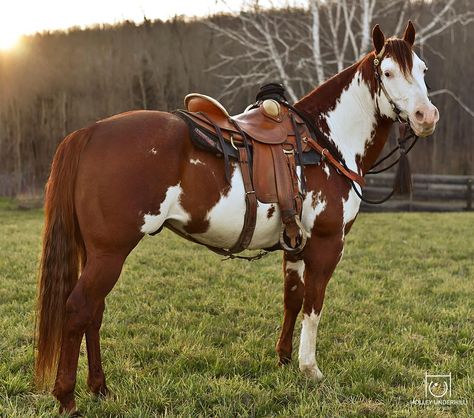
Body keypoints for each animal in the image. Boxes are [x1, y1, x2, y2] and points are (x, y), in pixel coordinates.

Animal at [36, 21, 436, 414]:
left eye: (422, 69)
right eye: (388, 72)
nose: (426, 117)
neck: (325, 142)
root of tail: (89, 133)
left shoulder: (295, 246)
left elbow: (293, 298)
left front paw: (284, 359)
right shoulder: (326, 245)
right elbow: (314, 304)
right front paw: (309, 369)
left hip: (97, 254)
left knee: (94, 312)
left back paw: (100, 388)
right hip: (109, 253)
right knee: (79, 309)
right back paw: (67, 397)